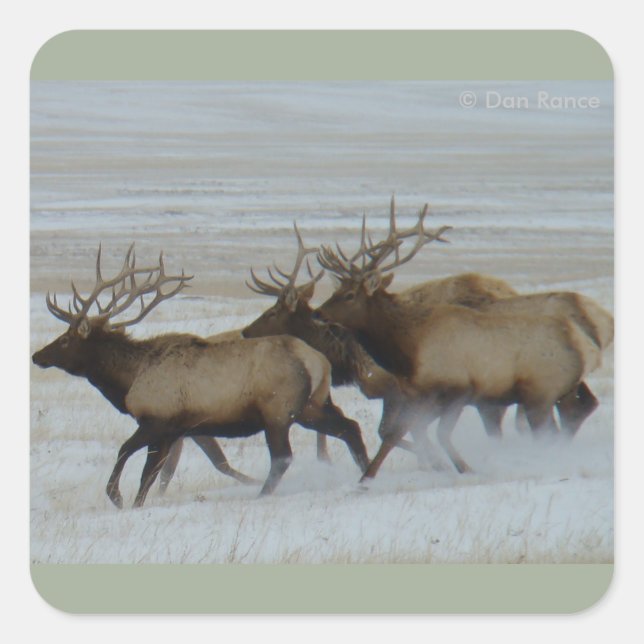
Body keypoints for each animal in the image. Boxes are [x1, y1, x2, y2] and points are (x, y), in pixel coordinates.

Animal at [31, 244, 369, 508]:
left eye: (66, 339)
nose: (37, 356)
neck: (128, 380)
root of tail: (318, 361)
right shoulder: (173, 431)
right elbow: (150, 475)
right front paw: (135, 503)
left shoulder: (157, 420)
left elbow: (128, 453)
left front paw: (116, 496)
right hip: (312, 406)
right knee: (350, 427)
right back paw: (366, 474)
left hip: (278, 410)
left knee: (283, 457)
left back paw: (262, 495)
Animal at [315, 202, 604, 478]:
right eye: (336, 290)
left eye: (350, 295)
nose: (318, 313)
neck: (409, 351)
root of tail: (588, 348)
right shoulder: (417, 395)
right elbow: (395, 433)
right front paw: (365, 480)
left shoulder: (459, 389)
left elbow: (438, 434)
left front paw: (464, 468)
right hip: (556, 393)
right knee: (574, 414)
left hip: (540, 394)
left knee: (553, 429)